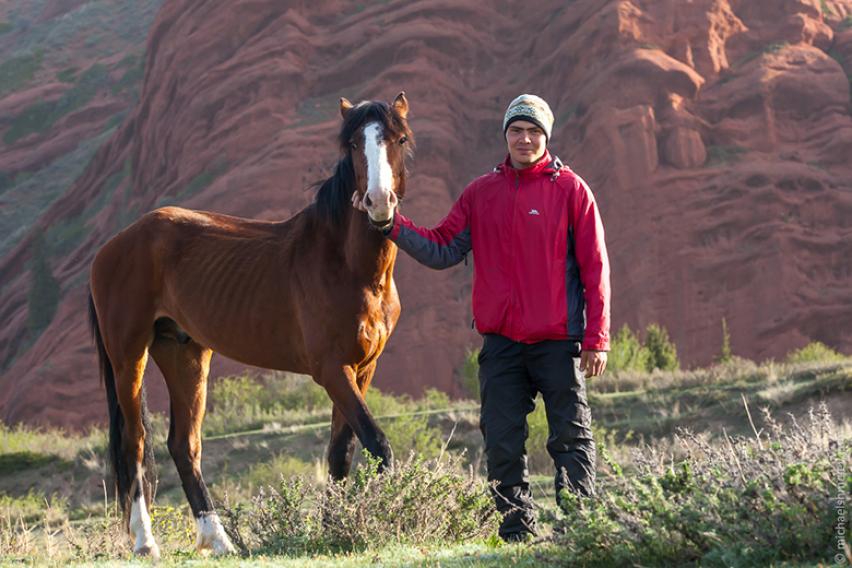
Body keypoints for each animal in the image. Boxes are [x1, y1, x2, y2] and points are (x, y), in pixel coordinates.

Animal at [88, 92, 414, 556]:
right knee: (135, 444)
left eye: (399, 139)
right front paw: (381, 521)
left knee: (183, 446)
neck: (346, 265)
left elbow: (342, 451)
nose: (379, 202)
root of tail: (113, 245)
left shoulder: (362, 368)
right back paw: (146, 543)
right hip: (128, 357)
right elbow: (376, 443)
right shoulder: (332, 370)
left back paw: (219, 540)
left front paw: (336, 527)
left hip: (184, 354)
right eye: (352, 144)